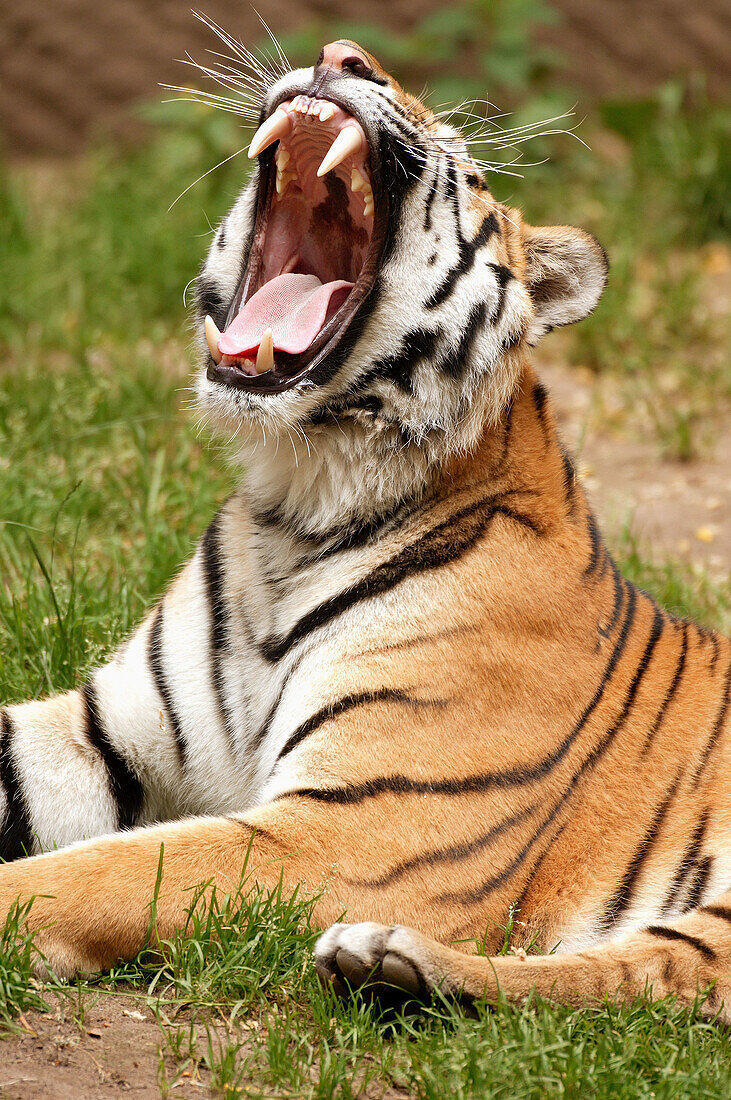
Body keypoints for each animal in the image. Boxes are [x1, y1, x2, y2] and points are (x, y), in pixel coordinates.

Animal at [0, 36, 725, 1020]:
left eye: (466, 165)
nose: (344, 54)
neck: (297, 505)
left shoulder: (364, 824)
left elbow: (95, 874)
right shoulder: (104, 732)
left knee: (643, 981)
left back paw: (389, 958)